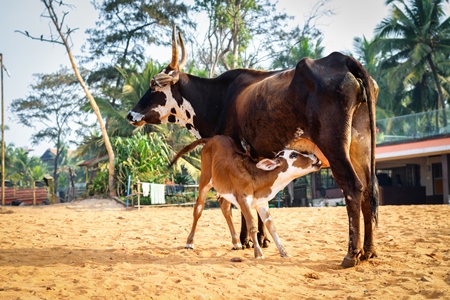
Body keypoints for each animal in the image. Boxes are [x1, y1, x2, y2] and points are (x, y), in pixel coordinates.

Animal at [127, 27, 380, 268]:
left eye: (154, 86)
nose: (131, 114)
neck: (219, 98)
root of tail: (342, 59)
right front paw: (262, 239)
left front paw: (247, 240)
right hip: (361, 147)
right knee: (369, 188)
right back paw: (369, 251)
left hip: (334, 147)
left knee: (352, 187)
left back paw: (351, 254)